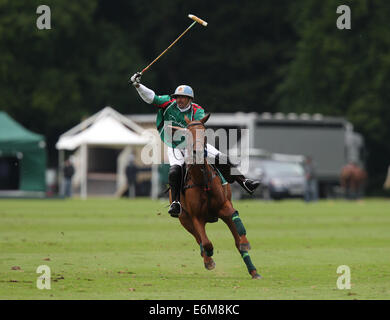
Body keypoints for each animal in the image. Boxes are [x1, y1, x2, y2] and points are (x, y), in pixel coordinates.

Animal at [168, 114, 262, 278]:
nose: (198, 152)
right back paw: (207, 259)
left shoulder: (224, 206)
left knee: (236, 241)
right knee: (199, 239)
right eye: (187, 134)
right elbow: (205, 242)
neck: (201, 179)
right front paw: (209, 256)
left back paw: (253, 270)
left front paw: (245, 242)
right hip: (184, 220)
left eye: (204, 132)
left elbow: (235, 218)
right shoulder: (195, 217)